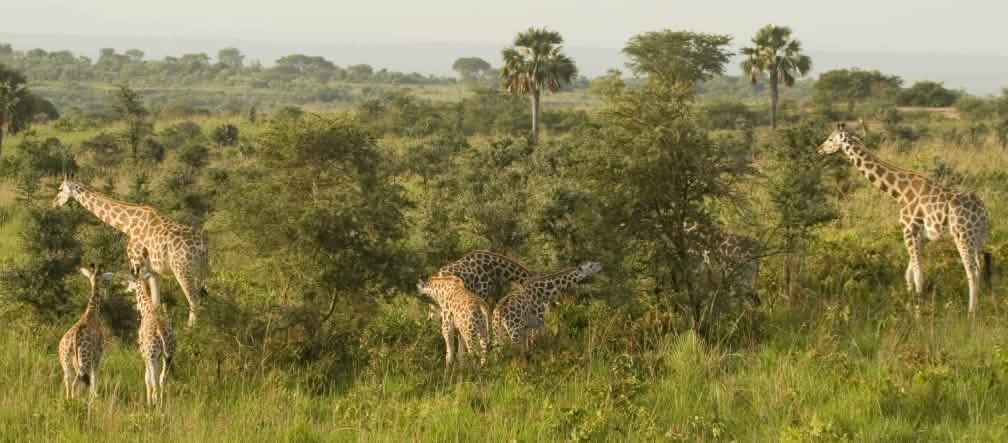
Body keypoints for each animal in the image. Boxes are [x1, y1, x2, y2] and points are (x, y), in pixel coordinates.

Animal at [52, 174, 209, 327]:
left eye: (60, 189)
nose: (53, 203)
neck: (128, 225)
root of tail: (202, 246)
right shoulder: (153, 271)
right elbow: (155, 303)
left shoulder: (137, 264)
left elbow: (142, 300)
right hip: (201, 270)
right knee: (202, 297)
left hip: (182, 269)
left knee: (194, 299)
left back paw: (191, 329)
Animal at [58, 263, 114, 400]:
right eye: (104, 279)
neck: (92, 312)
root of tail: (71, 343)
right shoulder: (98, 356)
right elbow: (95, 379)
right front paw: (95, 397)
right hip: (84, 362)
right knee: (75, 384)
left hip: (66, 363)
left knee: (67, 381)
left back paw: (68, 400)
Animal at [122, 266, 177, 406]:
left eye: (129, 282)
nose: (126, 290)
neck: (147, 308)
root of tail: (160, 330)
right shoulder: (159, 355)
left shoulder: (144, 354)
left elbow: (147, 378)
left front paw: (149, 400)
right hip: (169, 355)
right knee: (163, 378)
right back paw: (161, 403)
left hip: (151, 355)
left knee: (154, 379)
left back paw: (154, 403)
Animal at [818, 123, 990, 313]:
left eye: (830, 139)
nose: (819, 149)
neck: (898, 192)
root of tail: (982, 211)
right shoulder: (921, 236)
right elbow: (909, 273)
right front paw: (911, 301)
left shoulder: (908, 229)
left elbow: (918, 273)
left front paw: (919, 308)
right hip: (979, 238)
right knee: (980, 267)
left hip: (963, 236)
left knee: (971, 271)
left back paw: (971, 312)